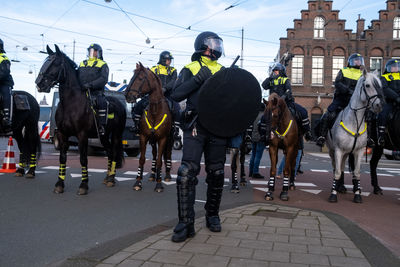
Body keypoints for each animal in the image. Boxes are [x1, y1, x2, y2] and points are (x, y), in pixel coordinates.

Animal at [36, 45, 126, 196]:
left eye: (55, 63)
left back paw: (111, 179)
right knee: (109, 151)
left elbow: (83, 159)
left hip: (117, 134)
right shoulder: (62, 134)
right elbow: (62, 158)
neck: (71, 103)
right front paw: (59, 184)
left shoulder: (82, 135)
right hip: (103, 136)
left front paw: (84, 185)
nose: (39, 84)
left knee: (113, 152)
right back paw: (107, 177)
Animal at [125, 62, 172, 193]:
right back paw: (152, 175)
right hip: (152, 140)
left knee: (167, 155)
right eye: (132, 76)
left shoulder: (163, 139)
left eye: (140, 78)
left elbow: (161, 161)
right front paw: (138, 182)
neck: (155, 111)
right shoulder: (143, 137)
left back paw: (166, 176)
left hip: (169, 140)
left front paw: (159, 184)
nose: (127, 95)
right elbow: (142, 159)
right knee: (155, 155)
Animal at [324, 69, 382, 203]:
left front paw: (357, 195)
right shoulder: (338, 150)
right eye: (368, 85)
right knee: (336, 168)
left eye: (380, 86)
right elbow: (337, 172)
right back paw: (337, 188)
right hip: (332, 151)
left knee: (342, 167)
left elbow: (356, 172)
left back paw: (341, 187)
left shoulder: (358, 151)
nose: (379, 106)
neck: (354, 122)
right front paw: (333, 195)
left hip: (346, 153)